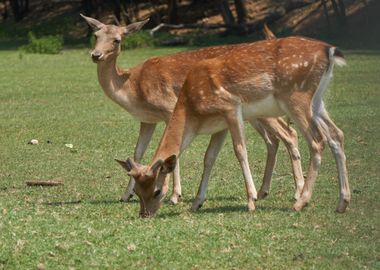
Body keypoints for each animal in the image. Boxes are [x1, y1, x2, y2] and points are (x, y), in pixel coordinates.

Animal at [81, 13, 306, 205]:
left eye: (117, 40)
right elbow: (138, 152)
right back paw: (263, 191)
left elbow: (172, 152)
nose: (96, 55)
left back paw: (296, 193)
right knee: (274, 139)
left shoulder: (168, 108)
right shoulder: (147, 119)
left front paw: (175, 195)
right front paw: (125, 195)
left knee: (289, 133)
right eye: (96, 35)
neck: (132, 87)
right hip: (255, 112)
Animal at [116, 35, 350, 217]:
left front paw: (251, 201)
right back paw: (342, 202)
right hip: (317, 101)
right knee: (336, 135)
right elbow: (209, 157)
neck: (192, 112)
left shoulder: (231, 107)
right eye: (137, 191)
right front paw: (197, 203)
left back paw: (301, 202)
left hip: (295, 97)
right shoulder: (220, 126)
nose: (145, 214)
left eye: (157, 191)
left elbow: (240, 151)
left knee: (317, 140)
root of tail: (329, 51)